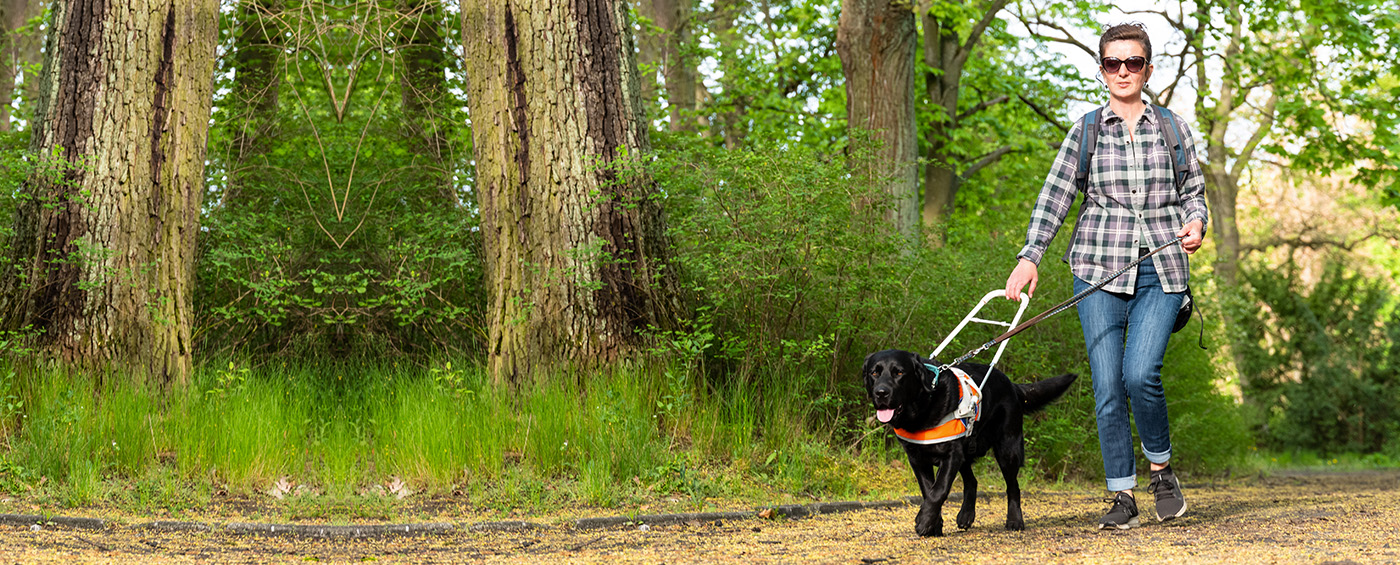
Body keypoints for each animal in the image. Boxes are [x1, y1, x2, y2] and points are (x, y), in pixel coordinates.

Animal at [862, 346, 1080, 537]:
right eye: (874, 373)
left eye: (899, 372)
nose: (881, 392)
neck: (923, 408)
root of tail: (1012, 385)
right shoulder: (918, 459)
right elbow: (928, 490)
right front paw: (934, 525)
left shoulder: (951, 454)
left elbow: (938, 490)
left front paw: (923, 522)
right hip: (967, 449)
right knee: (972, 481)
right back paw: (966, 515)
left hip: (1007, 449)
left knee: (1013, 486)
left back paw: (1015, 521)